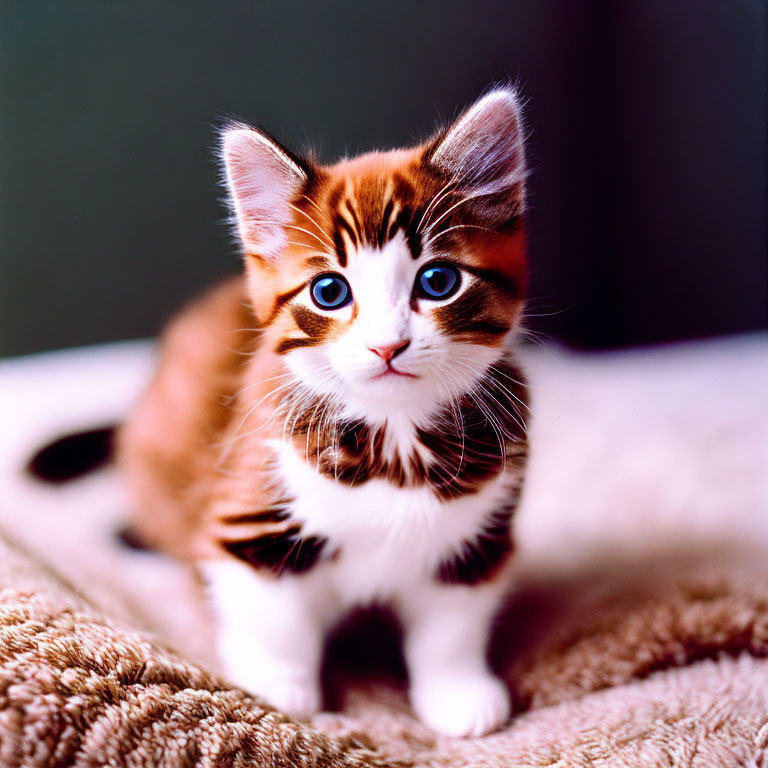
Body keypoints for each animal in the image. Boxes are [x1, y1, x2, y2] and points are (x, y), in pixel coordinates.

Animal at [118, 85, 528, 736]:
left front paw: (459, 692)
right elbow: (273, 612)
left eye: (438, 281)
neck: (395, 443)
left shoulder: (479, 535)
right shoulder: (249, 506)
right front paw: (281, 686)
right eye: (330, 292)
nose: (388, 345)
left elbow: (452, 624)